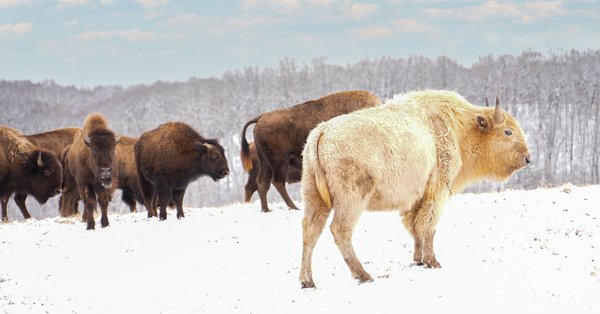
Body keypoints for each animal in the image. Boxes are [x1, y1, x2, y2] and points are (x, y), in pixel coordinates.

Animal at [239, 91, 380, 213]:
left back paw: (266, 209)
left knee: (262, 183)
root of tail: (261, 117)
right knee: (276, 183)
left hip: (266, 163)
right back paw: (293, 207)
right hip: (279, 162)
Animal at [300, 89, 528, 288]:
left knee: (310, 231)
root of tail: (321, 132)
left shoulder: (416, 198)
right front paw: (432, 262)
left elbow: (415, 226)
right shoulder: (437, 192)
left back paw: (307, 281)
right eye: (507, 132)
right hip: (352, 200)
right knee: (340, 230)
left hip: (314, 197)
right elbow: (427, 226)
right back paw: (363, 275)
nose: (528, 158)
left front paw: (418, 260)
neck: (458, 127)